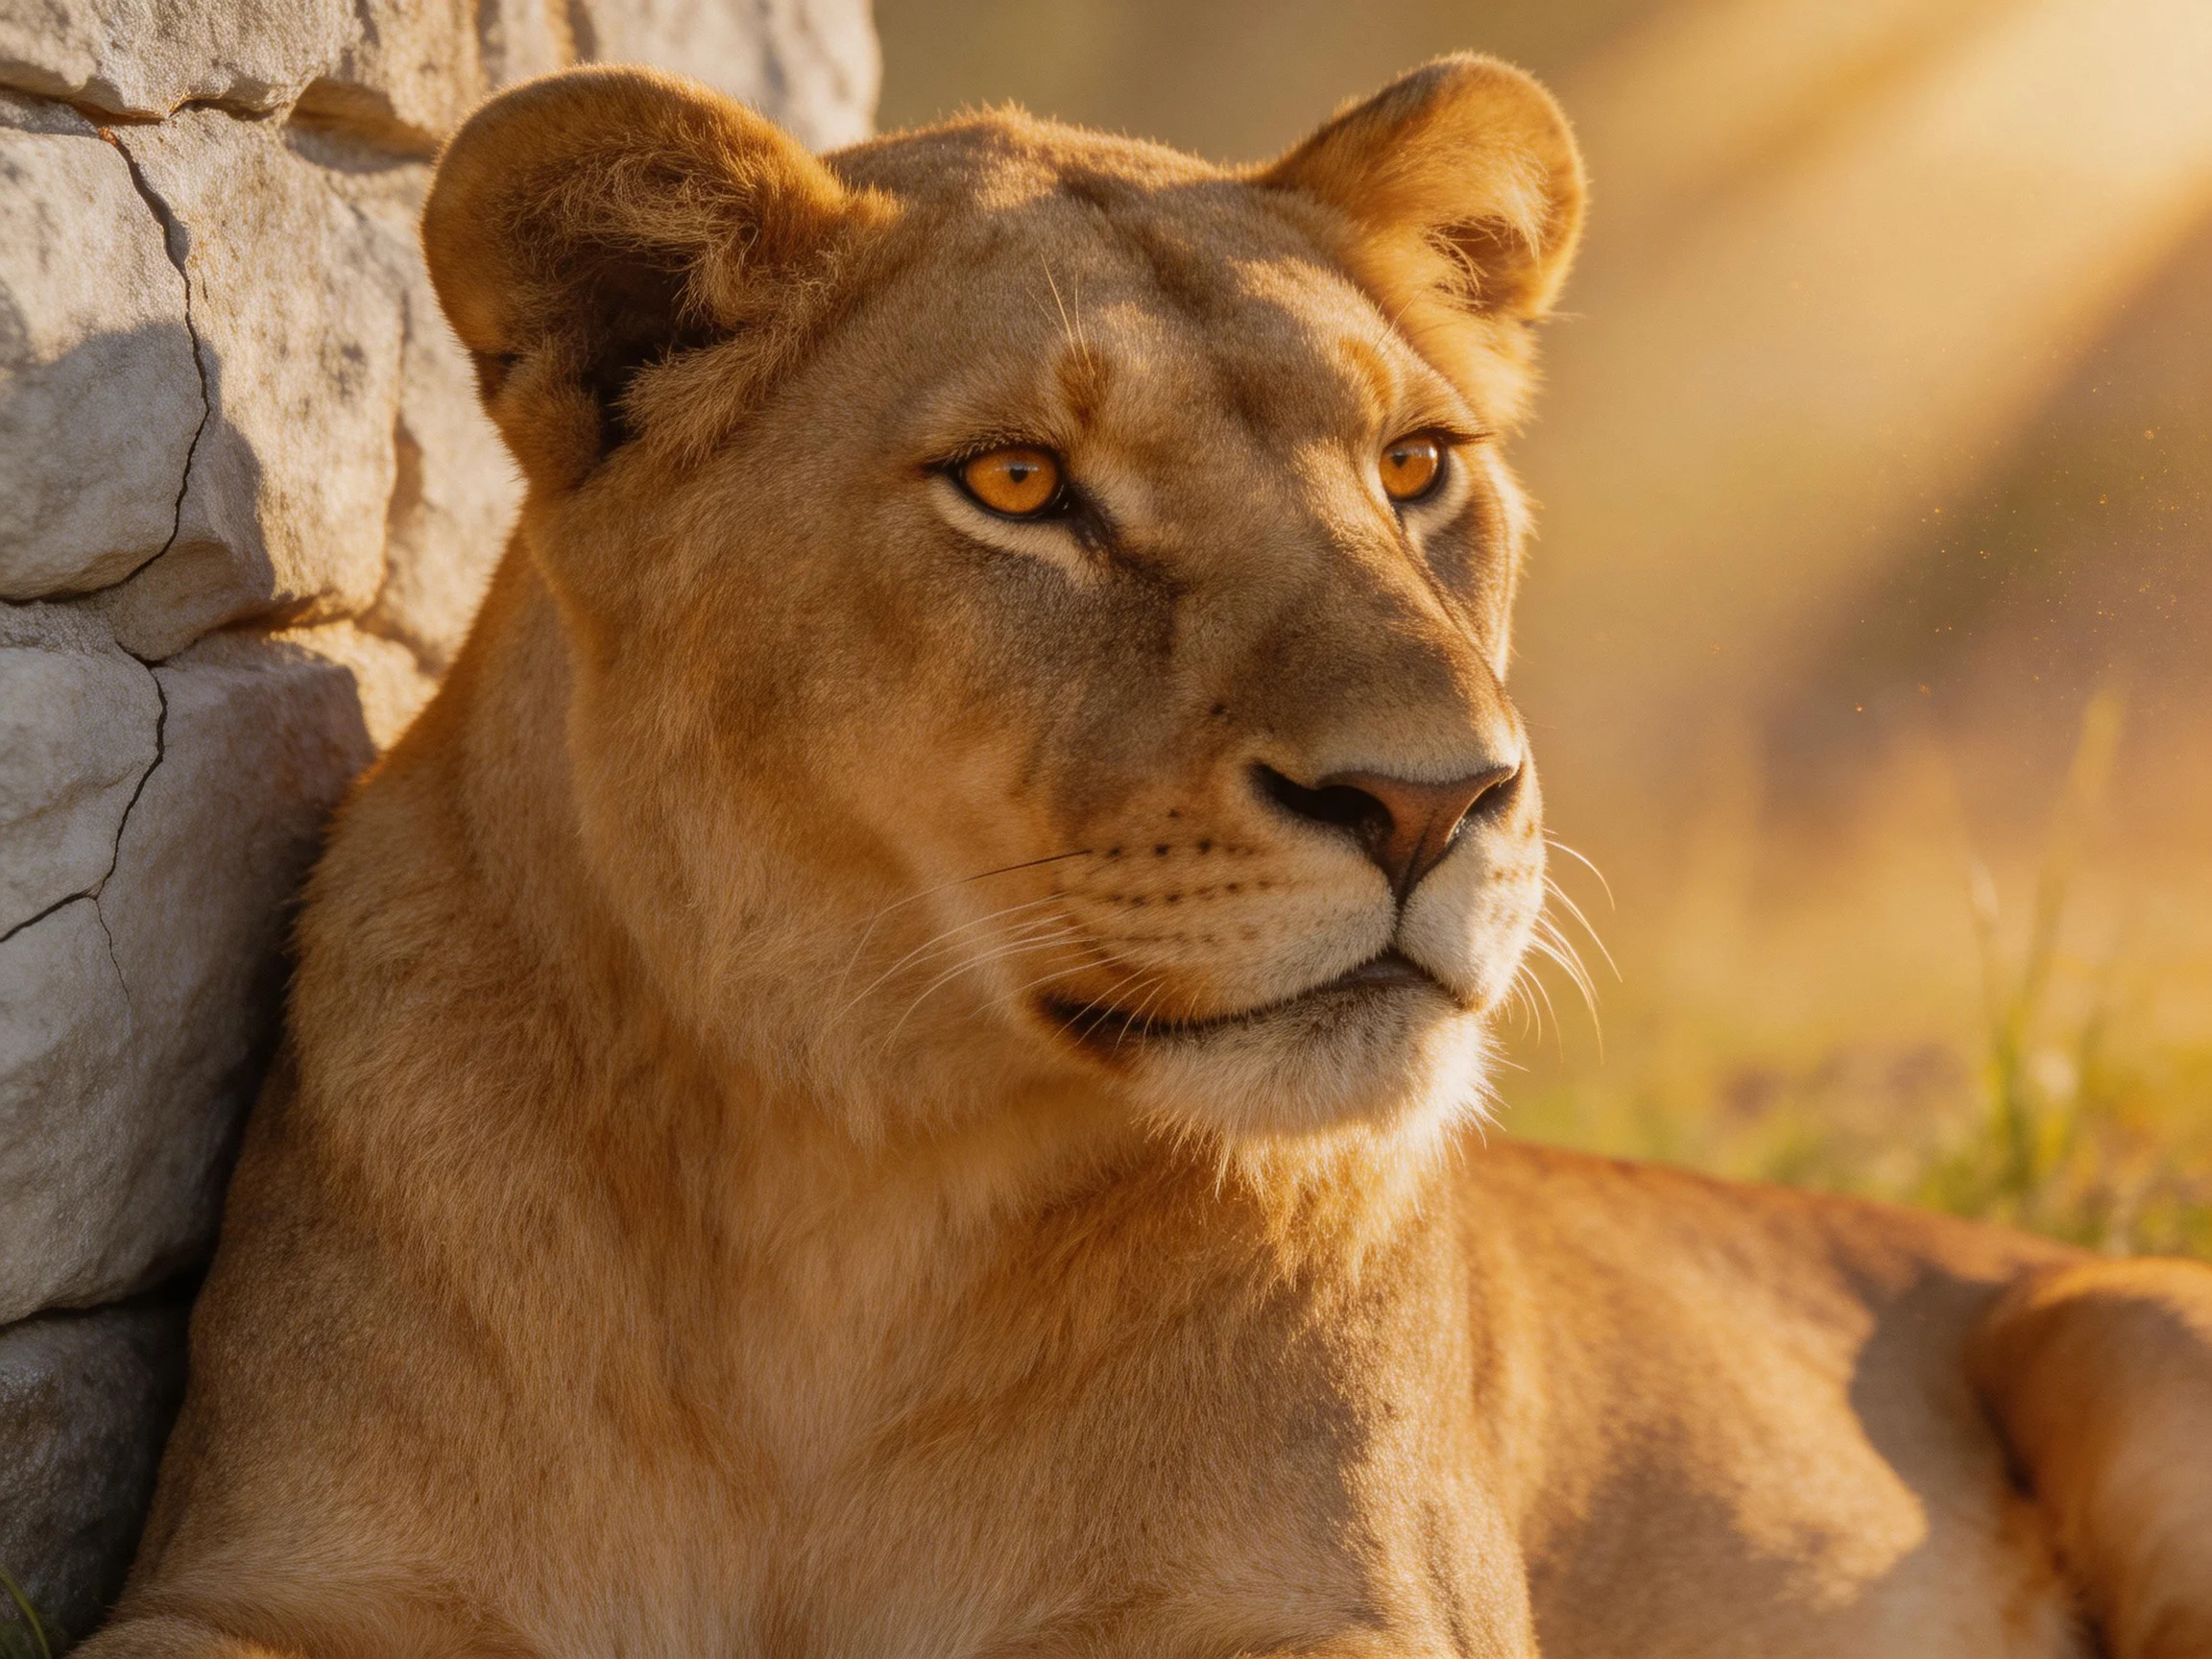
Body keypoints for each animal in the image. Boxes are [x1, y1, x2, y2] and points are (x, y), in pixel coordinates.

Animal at [83, 56, 2212, 1659]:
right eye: (1020, 485)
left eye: (1416, 467)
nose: (1439, 800)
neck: (838, 1207)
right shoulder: (247, 1586)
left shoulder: (1349, 1618)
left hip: (2115, 1325)